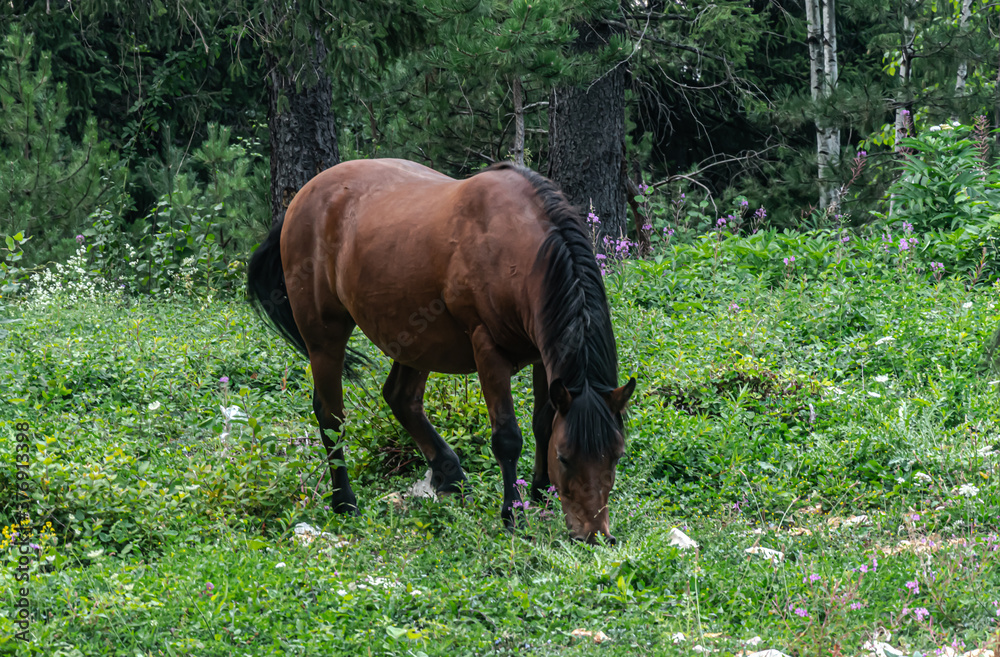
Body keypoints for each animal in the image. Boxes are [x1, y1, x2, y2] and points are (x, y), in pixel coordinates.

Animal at [247, 158, 635, 544]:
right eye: (565, 458)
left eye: (616, 455)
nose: (595, 535)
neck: (518, 247)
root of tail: (301, 199)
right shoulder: (487, 350)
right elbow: (508, 438)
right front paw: (513, 514)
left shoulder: (544, 355)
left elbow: (543, 423)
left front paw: (540, 494)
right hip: (325, 339)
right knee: (331, 416)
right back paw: (345, 502)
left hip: (418, 342)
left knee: (400, 398)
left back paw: (450, 475)